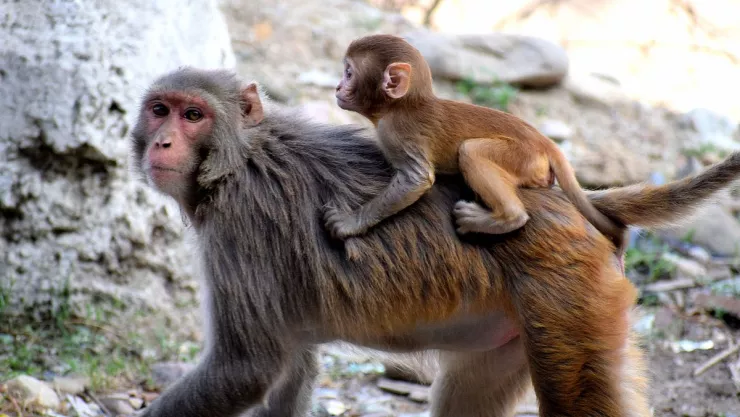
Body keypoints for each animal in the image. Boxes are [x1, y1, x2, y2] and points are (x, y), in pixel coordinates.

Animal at [131, 67, 740, 417]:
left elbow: (247, 368)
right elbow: (290, 368)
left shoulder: (240, 231)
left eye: (193, 115)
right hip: (524, 327)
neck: (236, 161)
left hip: (572, 300)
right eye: (160, 110)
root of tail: (568, 202)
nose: (162, 142)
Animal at [324, 34, 627, 264]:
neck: (401, 106)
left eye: (349, 73)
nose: (337, 87)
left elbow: (416, 180)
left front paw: (350, 223)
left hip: (522, 157)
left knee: (472, 151)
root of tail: (544, 142)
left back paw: (504, 218)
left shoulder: (397, 132)